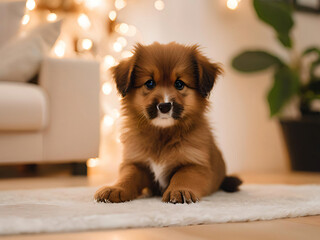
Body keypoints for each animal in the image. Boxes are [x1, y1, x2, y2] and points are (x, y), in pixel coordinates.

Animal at [94, 42, 241, 203]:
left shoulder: (194, 164)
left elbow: (183, 177)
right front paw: (115, 189)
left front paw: (180, 190)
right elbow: (128, 176)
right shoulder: (136, 162)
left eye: (179, 84)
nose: (164, 106)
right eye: (150, 83)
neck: (162, 135)